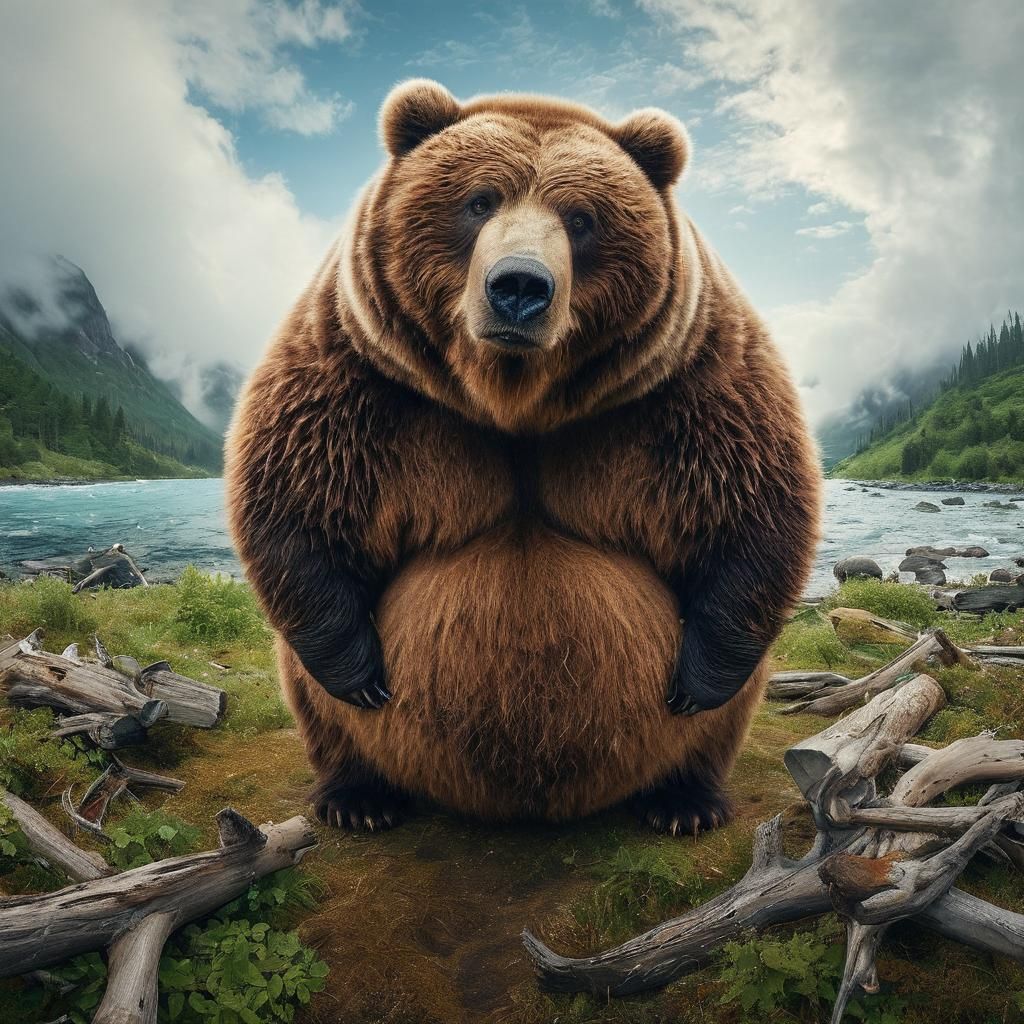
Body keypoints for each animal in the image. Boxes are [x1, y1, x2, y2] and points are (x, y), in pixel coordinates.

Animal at [225, 79, 822, 836]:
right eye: (479, 200)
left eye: (582, 217)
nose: (518, 287)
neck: (514, 399)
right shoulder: (362, 372)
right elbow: (298, 495)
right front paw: (359, 673)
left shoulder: (689, 379)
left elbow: (751, 504)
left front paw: (697, 682)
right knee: (314, 698)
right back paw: (359, 797)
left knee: (724, 715)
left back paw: (684, 800)